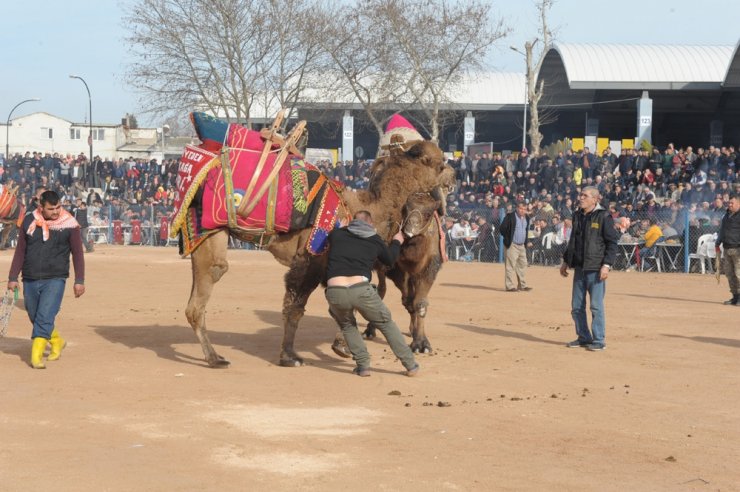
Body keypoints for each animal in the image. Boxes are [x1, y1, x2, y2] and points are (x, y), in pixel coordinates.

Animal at [184, 127, 450, 368]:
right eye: (438, 162)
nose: (452, 176)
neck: (364, 209)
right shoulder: (310, 259)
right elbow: (295, 308)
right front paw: (290, 356)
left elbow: (344, 304)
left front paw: (340, 347)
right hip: (209, 228)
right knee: (207, 286)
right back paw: (215, 358)